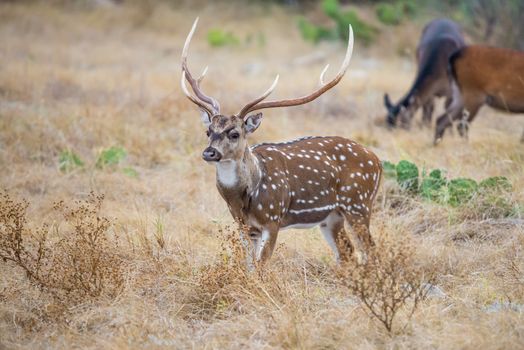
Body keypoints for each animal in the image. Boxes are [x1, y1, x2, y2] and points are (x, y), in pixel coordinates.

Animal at [182, 18, 382, 266]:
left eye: (235, 133)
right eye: (208, 131)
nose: (209, 153)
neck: (244, 198)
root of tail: (378, 162)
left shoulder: (273, 218)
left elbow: (261, 265)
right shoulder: (244, 225)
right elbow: (249, 265)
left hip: (358, 202)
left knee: (372, 251)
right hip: (331, 216)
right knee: (347, 254)